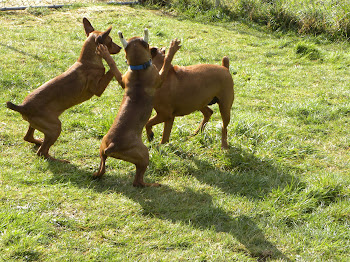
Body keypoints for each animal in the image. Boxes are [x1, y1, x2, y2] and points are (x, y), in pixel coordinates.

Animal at [6, 17, 121, 162]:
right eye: (110, 41)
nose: (121, 47)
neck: (88, 61)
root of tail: (22, 107)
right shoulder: (98, 89)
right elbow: (110, 69)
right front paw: (112, 62)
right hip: (55, 127)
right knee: (42, 152)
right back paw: (59, 160)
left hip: (38, 124)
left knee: (29, 137)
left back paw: (39, 141)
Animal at [93, 29, 180, 186]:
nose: (158, 48)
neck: (139, 68)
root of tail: (112, 145)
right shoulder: (160, 77)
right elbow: (166, 62)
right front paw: (172, 48)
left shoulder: (122, 79)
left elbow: (113, 65)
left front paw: (105, 53)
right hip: (144, 154)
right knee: (138, 181)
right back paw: (153, 185)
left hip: (102, 150)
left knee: (102, 169)